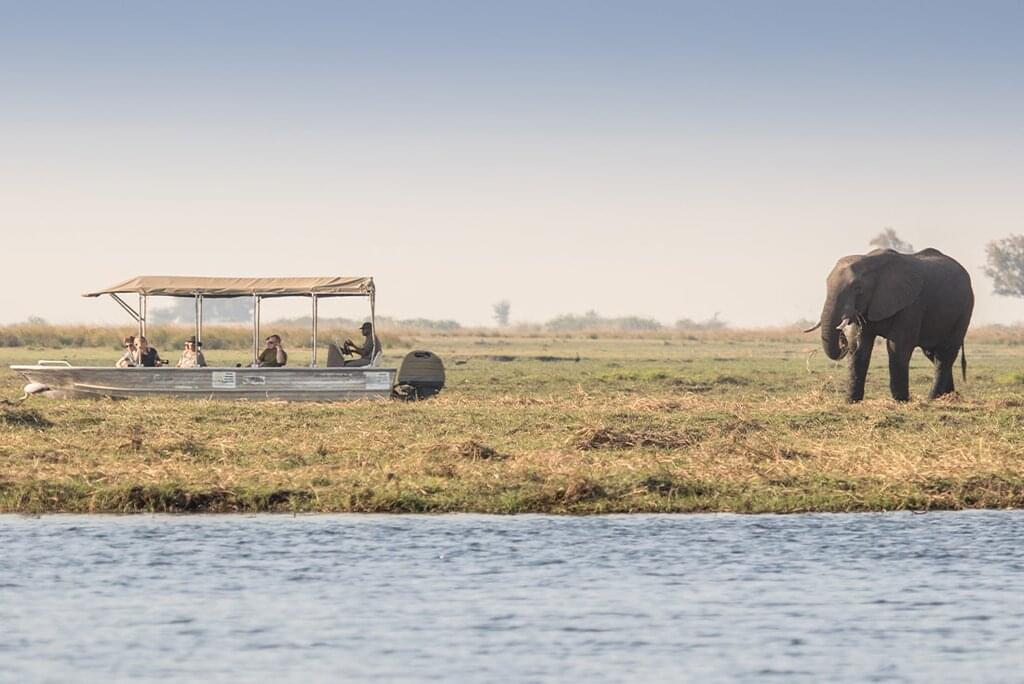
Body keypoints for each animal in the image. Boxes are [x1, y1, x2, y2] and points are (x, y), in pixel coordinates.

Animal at [806, 248, 973, 402]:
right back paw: (948, 396)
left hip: (965, 310)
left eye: (858, 288)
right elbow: (859, 349)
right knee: (933, 353)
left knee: (945, 353)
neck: (871, 262)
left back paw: (932, 399)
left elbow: (897, 347)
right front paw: (851, 402)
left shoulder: (911, 304)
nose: (842, 339)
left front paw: (900, 401)